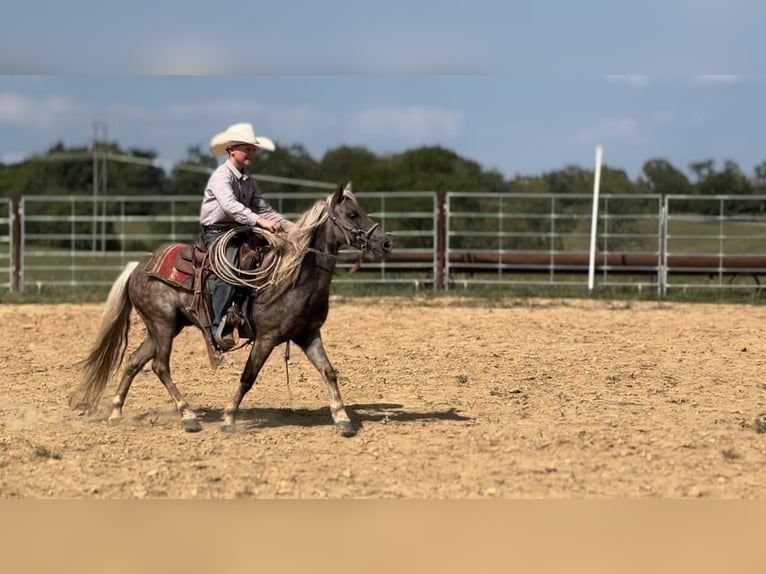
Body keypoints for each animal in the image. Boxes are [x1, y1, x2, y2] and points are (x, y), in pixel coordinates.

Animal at [69, 182, 393, 436]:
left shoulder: (308, 335)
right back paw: (188, 417)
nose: (386, 242)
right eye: (352, 214)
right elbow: (248, 377)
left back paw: (116, 413)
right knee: (160, 367)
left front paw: (342, 419)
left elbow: (329, 372)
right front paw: (228, 418)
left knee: (134, 361)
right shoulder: (266, 338)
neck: (293, 278)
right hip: (162, 325)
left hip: (165, 327)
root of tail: (139, 266)